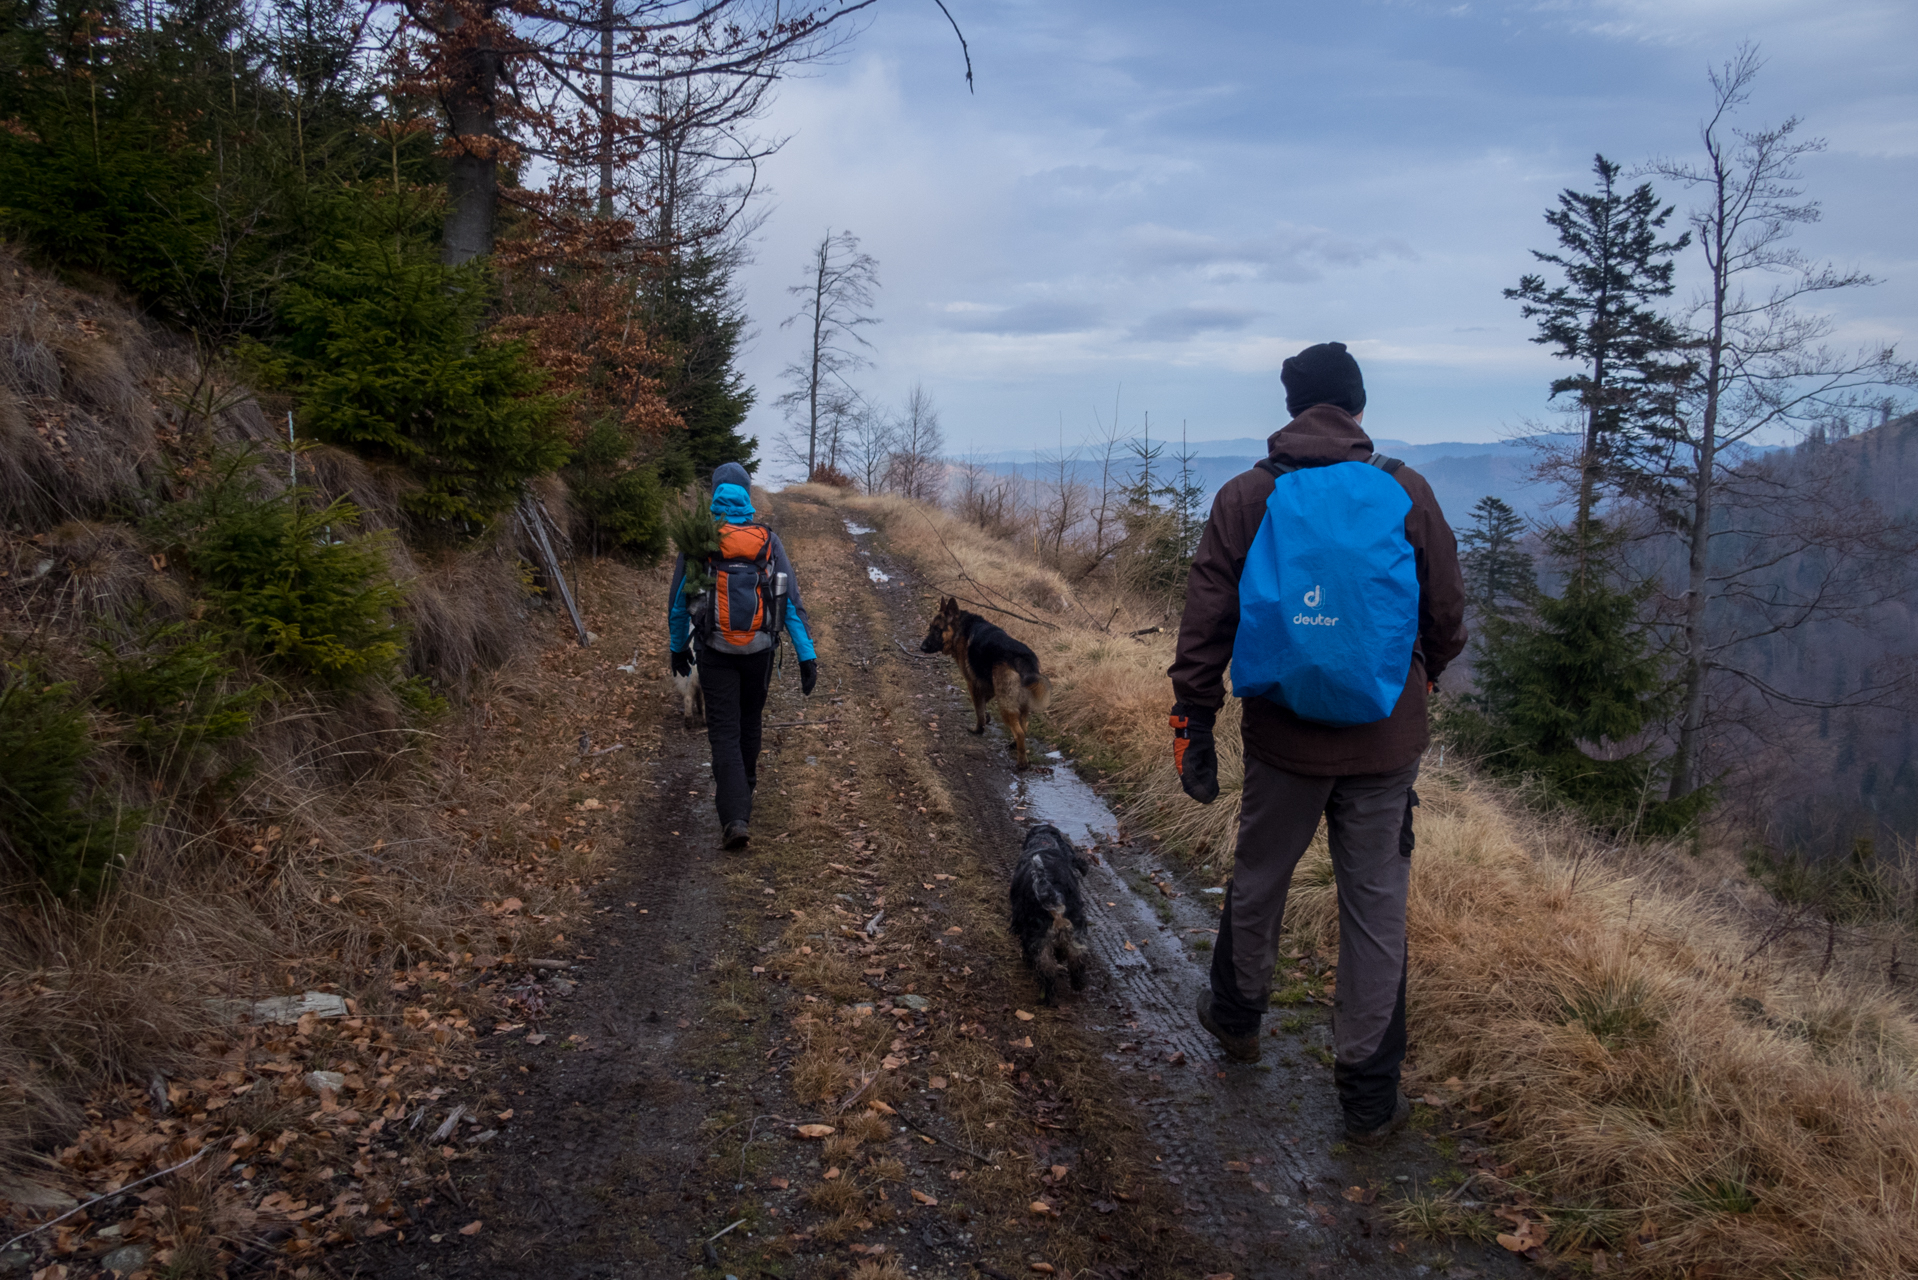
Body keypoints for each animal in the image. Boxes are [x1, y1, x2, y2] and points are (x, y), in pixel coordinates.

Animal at [924, 594, 1058, 767]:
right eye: (930, 628)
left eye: (937, 630)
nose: (922, 647)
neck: (961, 629)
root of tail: (1024, 658)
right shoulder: (989, 685)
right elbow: (984, 702)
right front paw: (987, 717)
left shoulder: (972, 683)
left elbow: (979, 710)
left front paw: (978, 729)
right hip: (1019, 704)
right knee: (1024, 727)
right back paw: (1014, 746)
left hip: (1005, 705)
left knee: (1020, 732)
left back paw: (1022, 763)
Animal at [1012, 825, 1089, 1005]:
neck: (1044, 843)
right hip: (1075, 931)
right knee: (1076, 959)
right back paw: (1078, 984)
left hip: (1038, 938)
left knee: (1047, 970)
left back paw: (1047, 997)